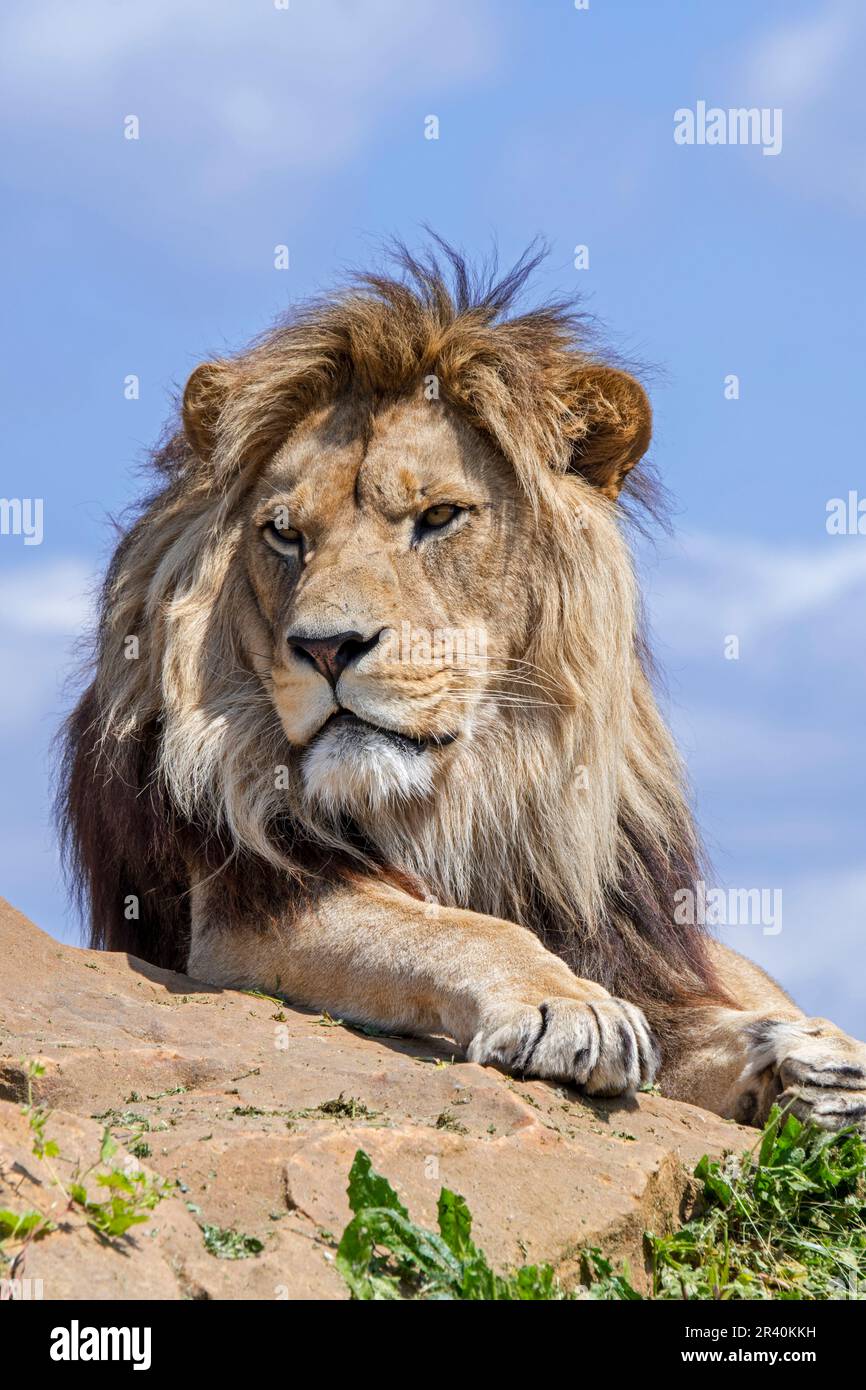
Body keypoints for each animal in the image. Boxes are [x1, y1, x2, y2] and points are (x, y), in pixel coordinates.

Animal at [59, 242, 866, 1132]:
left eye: (440, 516)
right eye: (284, 534)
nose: (326, 647)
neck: (463, 798)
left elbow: (697, 1019)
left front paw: (793, 1059)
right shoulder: (244, 915)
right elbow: (452, 928)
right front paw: (566, 1006)